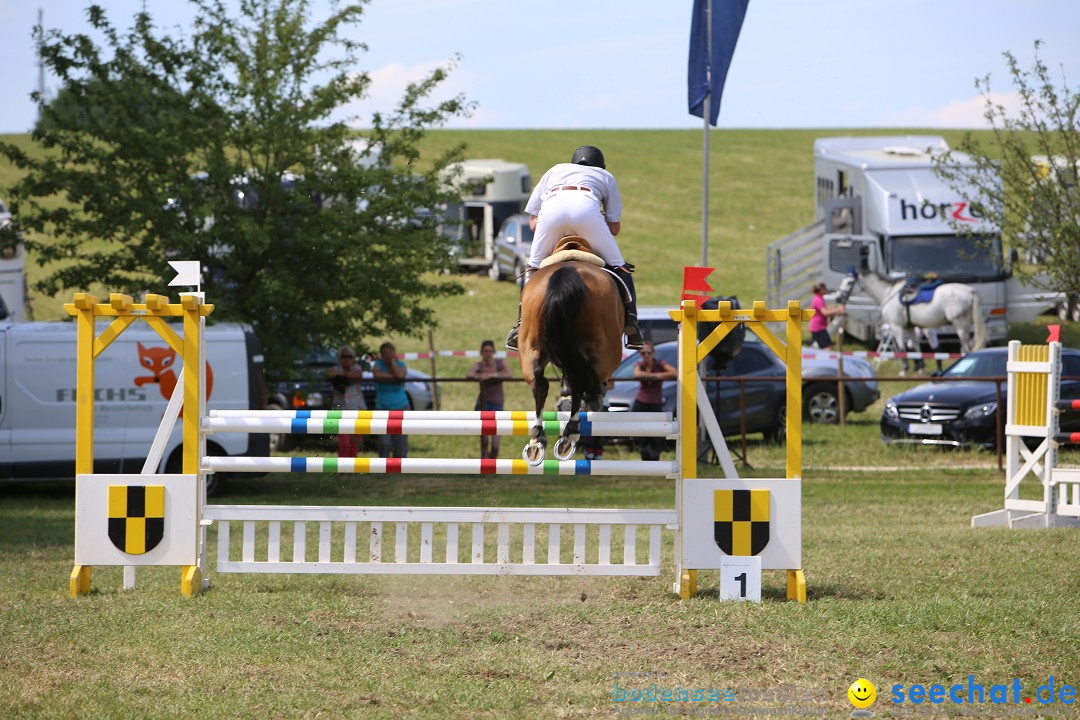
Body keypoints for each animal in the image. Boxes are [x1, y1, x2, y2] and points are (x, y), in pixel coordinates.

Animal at [514, 236, 626, 462]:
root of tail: (566, 273)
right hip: (607, 351)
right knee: (579, 383)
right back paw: (571, 433)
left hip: (530, 348)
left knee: (540, 383)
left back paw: (537, 440)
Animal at [851, 266, 989, 360]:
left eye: (850, 282)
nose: (844, 295)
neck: (889, 293)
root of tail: (970, 290)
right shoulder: (910, 327)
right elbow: (915, 349)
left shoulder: (897, 326)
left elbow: (902, 349)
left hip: (960, 326)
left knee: (966, 348)